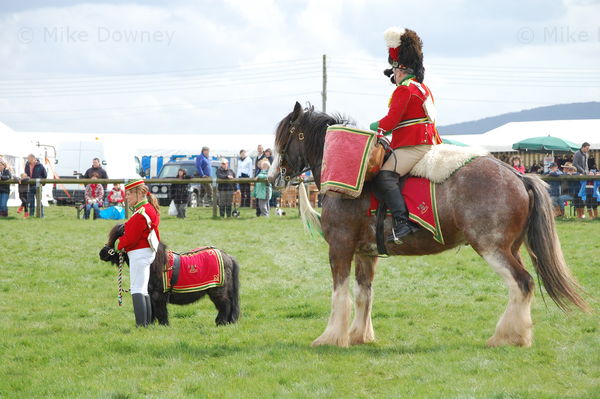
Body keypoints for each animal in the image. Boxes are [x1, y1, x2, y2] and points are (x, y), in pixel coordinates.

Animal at [98, 223, 239, 326]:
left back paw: (221, 323)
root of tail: (228, 257)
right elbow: (152, 311)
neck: (154, 264)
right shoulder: (151, 295)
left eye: (119, 238)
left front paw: (163, 325)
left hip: (218, 291)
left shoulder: (159, 296)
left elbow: (161, 312)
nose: (102, 253)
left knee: (225, 305)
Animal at [270, 102, 588, 346]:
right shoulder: (365, 252)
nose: (273, 176)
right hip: (511, 248)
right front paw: (359, 335)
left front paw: (331, 337)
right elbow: (363, 293)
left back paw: (506, 337)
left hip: (491, 248)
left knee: (521, 283)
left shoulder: (340, 247)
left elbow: (340, 293)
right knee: (522, 286)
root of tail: (517, 175)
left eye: (286, 136)